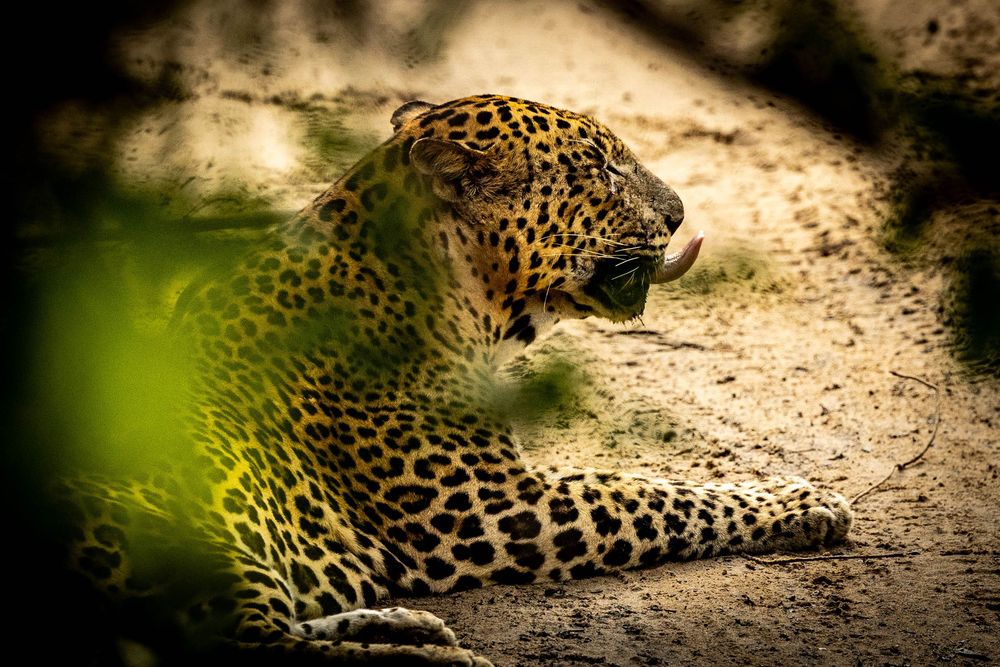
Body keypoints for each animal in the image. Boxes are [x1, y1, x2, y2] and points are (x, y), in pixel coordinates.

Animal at [62, 94, 852, 666]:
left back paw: (406, 625)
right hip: (184, 528)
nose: (680, 212)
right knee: (239, 647)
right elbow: (650, 492)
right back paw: (441, 657)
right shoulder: (490, 505)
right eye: (600, 167)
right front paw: (801, 500)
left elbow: (654, 481)